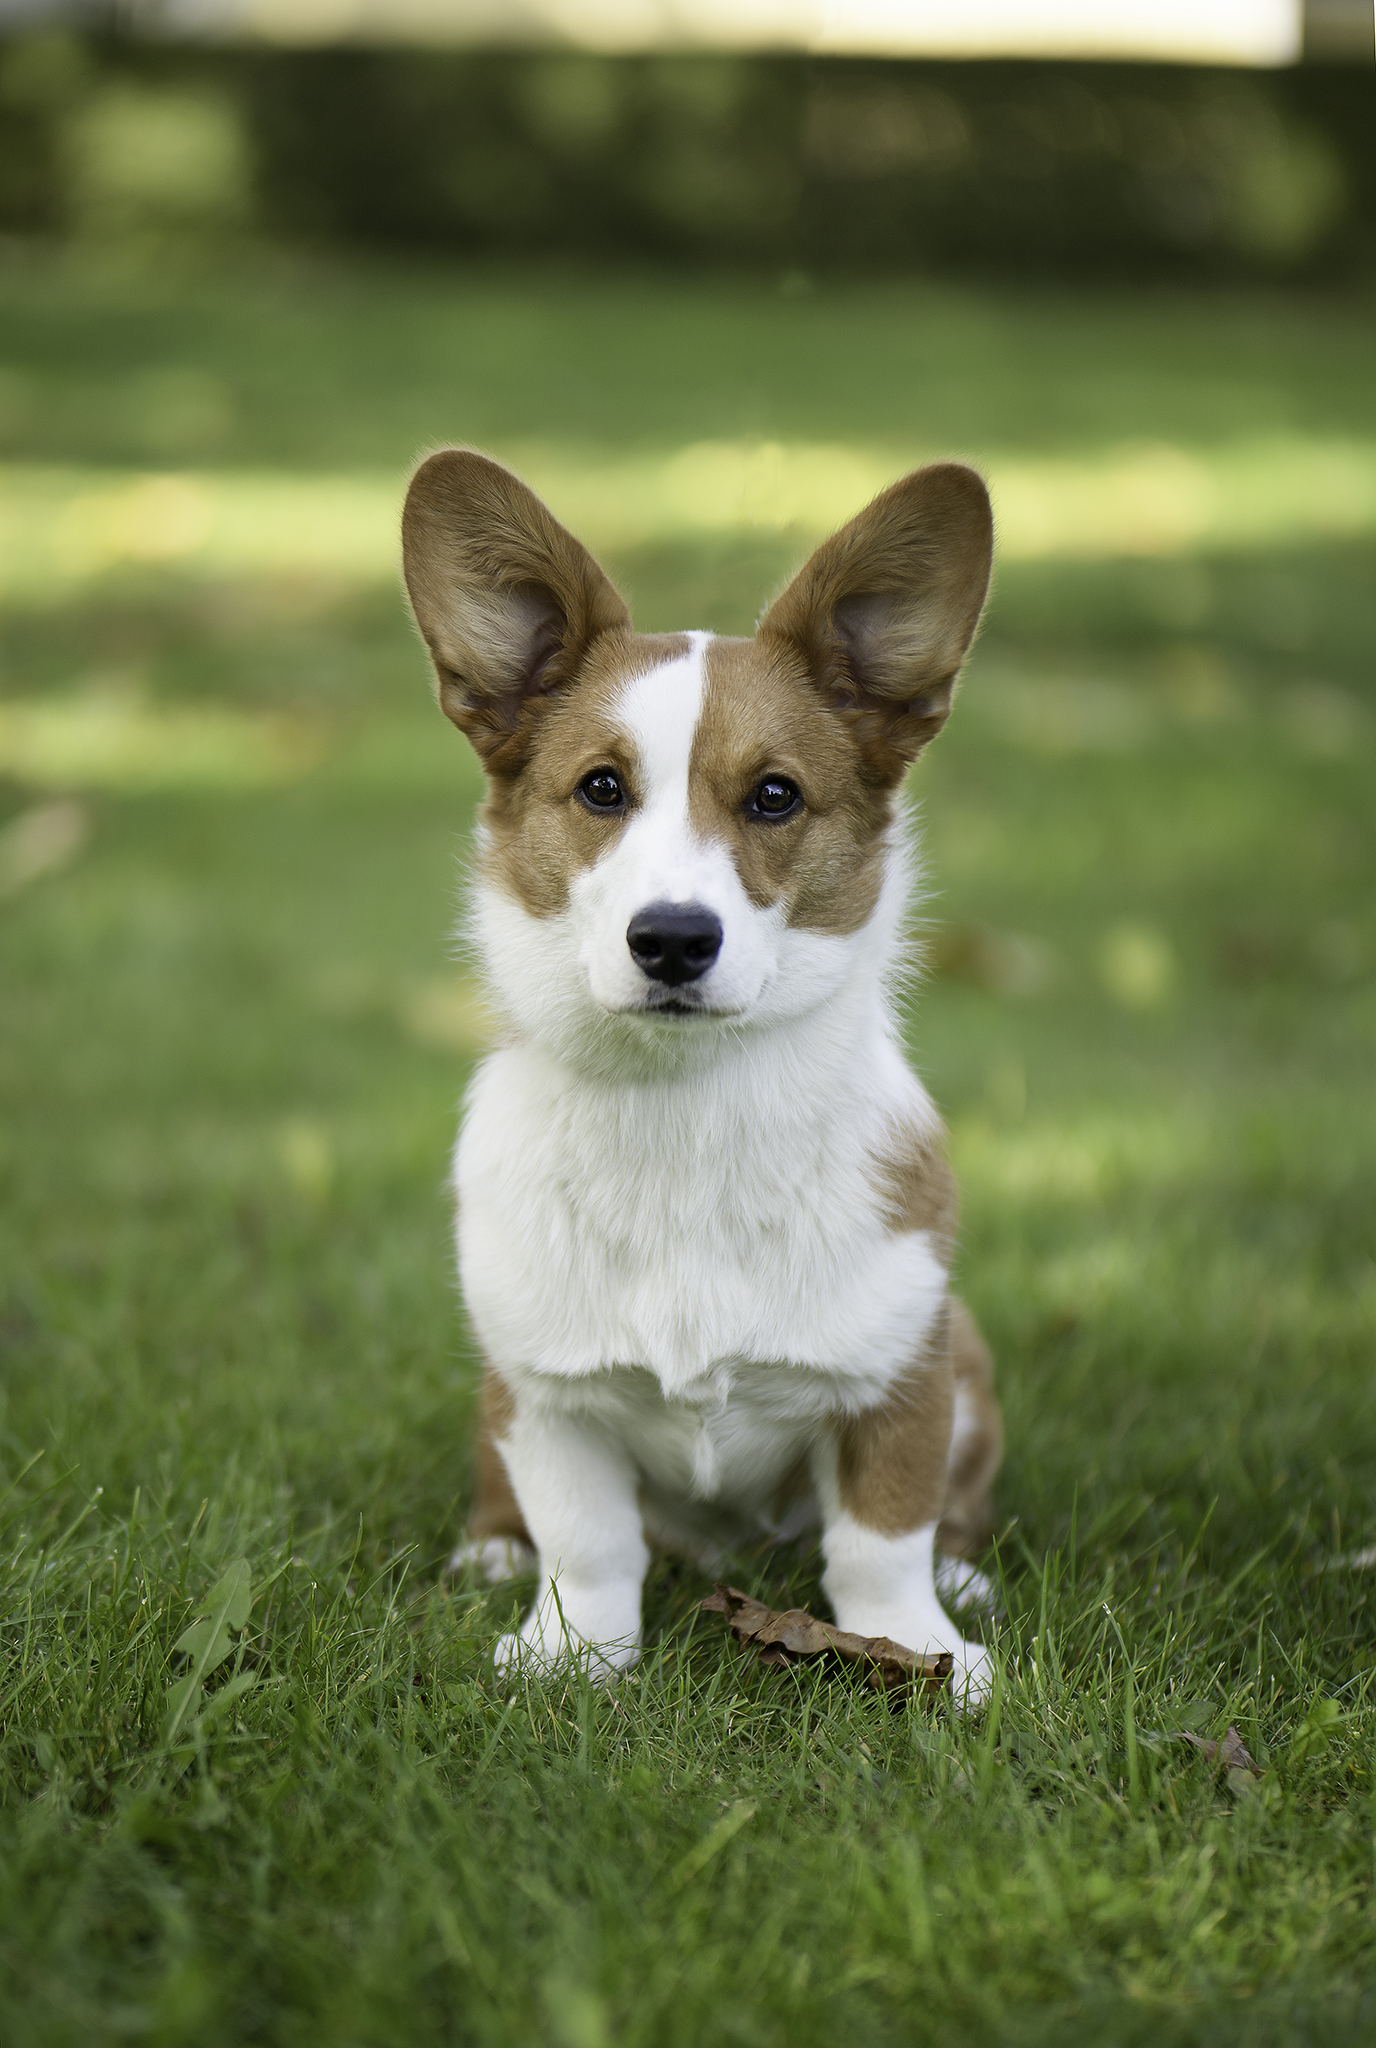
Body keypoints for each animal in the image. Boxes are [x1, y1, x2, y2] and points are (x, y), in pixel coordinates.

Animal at [401, 449, 1003, 1701]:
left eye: (774, 794)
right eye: (599, 788)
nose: (672, 939)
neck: (685, 1106)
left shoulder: (902, 1376)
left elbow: (879, 1538)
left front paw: (920, 1647)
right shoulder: (547, 1396)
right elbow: (586, 1542)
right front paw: (572, 1653)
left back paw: (964, 1578)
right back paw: (489, 1551)